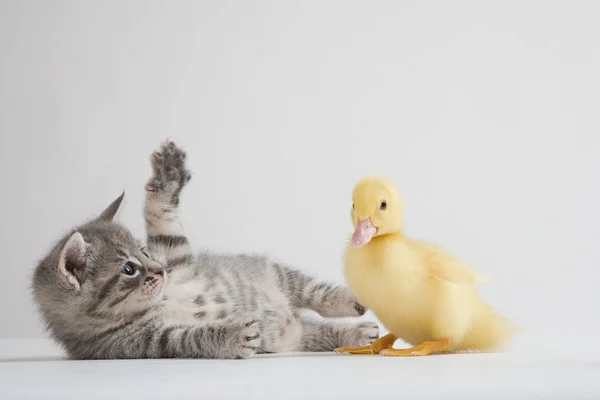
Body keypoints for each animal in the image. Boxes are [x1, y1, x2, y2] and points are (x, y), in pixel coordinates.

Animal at [31, 141, 380, 360]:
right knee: (321, 332)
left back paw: (353, 300)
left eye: (145, 252)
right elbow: (192, 338)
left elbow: (162, 217)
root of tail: (291, 322)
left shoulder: (179, 259)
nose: (159, 270)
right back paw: (357, 335)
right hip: (298, 336)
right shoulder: (145, 343)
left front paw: (167, 179)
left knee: (317, 292)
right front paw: (232, 337)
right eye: (129, 269)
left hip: (280, 275)